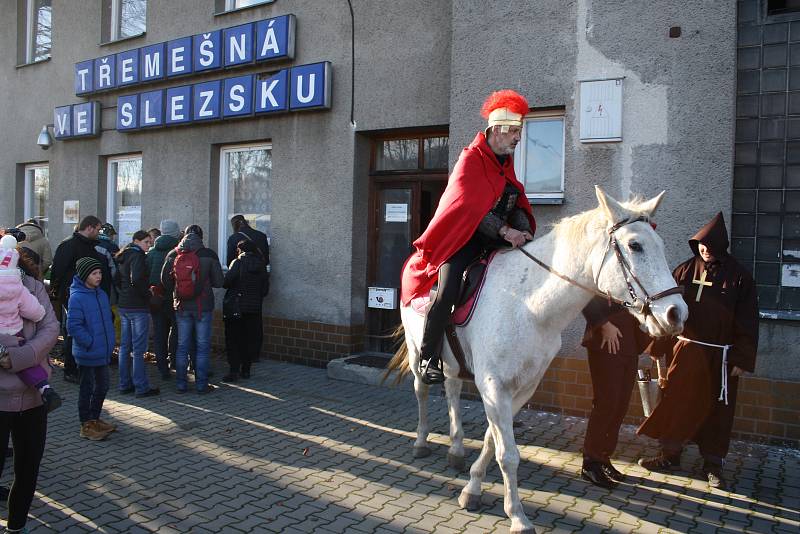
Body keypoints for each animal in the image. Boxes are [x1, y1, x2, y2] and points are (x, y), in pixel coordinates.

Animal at [388, 186, 688, 532]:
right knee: (422, 391)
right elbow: (508, 454)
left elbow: (492, 442)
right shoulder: (494, 387)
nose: (676, 313)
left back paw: (456, 448)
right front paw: (518, 516)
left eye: (661, 245)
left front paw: (473, 488)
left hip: (452, 362)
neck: (529, 305)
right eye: (635, 245)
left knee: (451, 390)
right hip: (416, 352)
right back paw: (422, 442)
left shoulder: (522, 388)